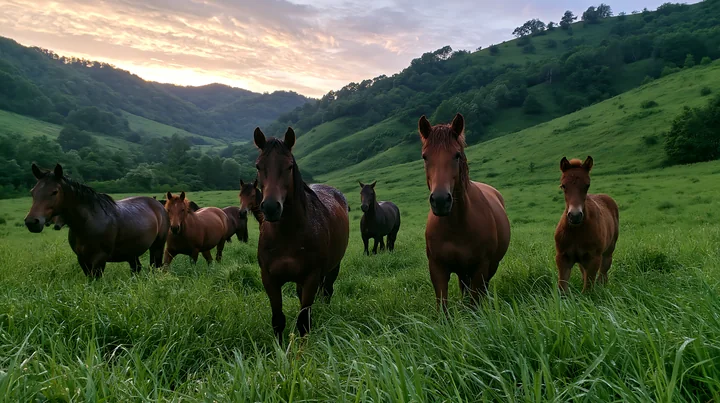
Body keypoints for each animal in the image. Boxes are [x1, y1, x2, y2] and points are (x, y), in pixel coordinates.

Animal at [24, 164, 169, 278]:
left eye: (54, 192)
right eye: (32, 191)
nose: (32, 222)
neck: (87, 222)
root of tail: (158, 204)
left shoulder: (99, 259)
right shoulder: (82, 259)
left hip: (157, 247)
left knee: (155, 266)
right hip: (132, 252)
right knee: (136, 268)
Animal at [253, 127, 350, 343]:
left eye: (289, 166)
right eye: (258, 166)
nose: (270, 207)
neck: (287, 235)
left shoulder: (311, 277)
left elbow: (304, 322)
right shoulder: (269, 279)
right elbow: (278, 320)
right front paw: (279, 350)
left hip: (334, 267)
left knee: (327, 291)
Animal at [418, 113, 511, 311]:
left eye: (457, 155)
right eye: (425, 157)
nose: (440, 200)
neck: (456, 226)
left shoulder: (480, 268)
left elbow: (474, 303)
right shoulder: (437, 269)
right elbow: (443, 308)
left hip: (490, 267)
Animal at [555, 156, 619, 293]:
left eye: (587, 185)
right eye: (563, 186)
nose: (575, 216)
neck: (576, 232)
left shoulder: (593, 258)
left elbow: (588, 290)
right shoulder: (562, 258)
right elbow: (562, 289)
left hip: (608, 251)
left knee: (603, 272)